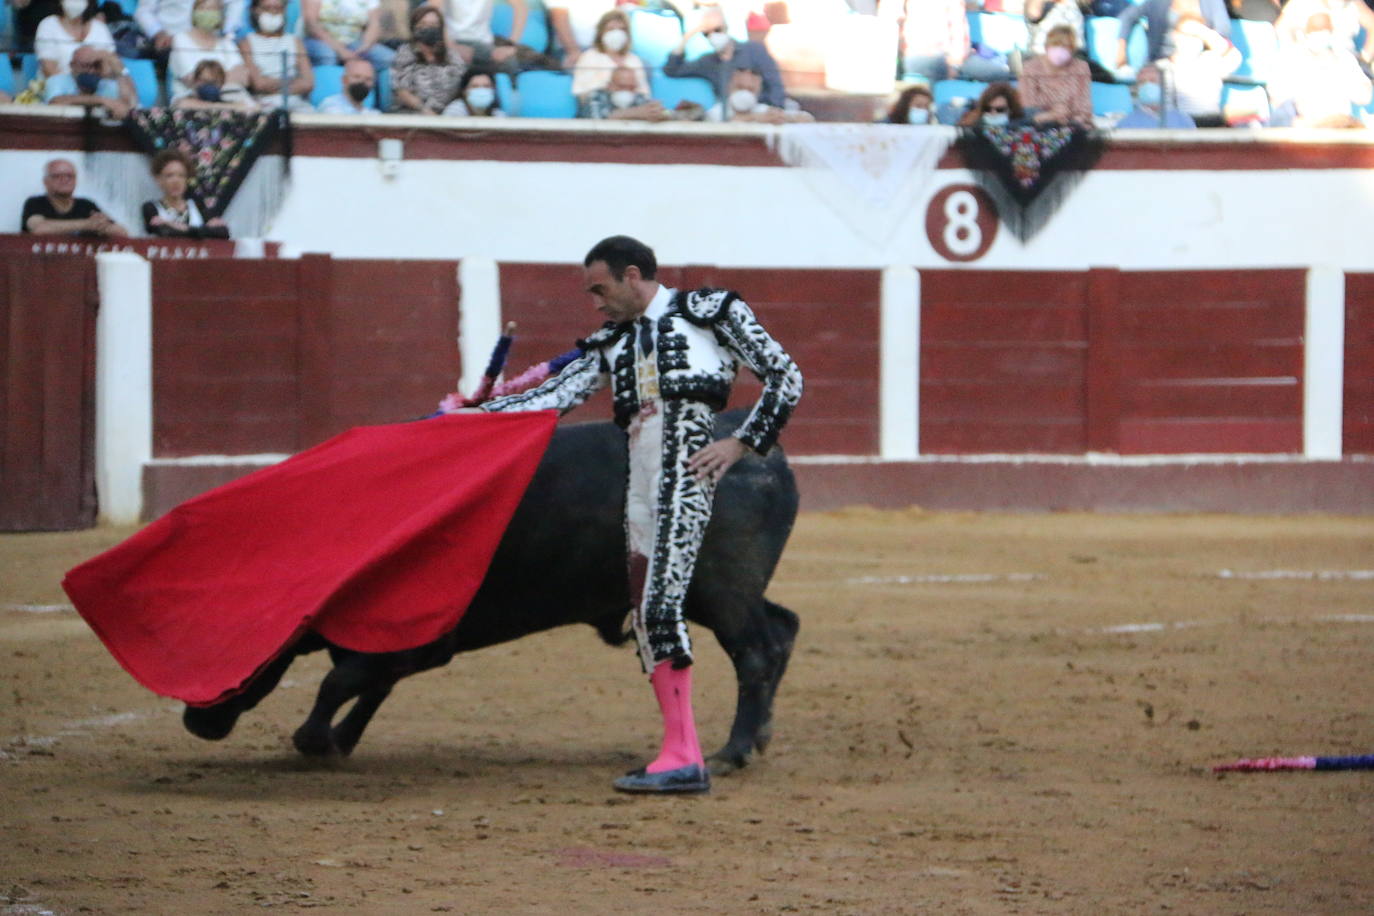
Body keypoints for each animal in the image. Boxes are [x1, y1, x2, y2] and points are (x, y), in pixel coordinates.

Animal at [184, 409, 802, 774]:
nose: (196, 722)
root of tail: (754, 448)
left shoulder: (411, 641)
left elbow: (340, 682)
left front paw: (314, 740)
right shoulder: (407, 651)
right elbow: (368, 688)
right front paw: (339, 742)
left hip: (720, 592)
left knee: (756, 651)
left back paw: (731, 752)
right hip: (728, 594)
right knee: (782, 628)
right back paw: (762, 734)